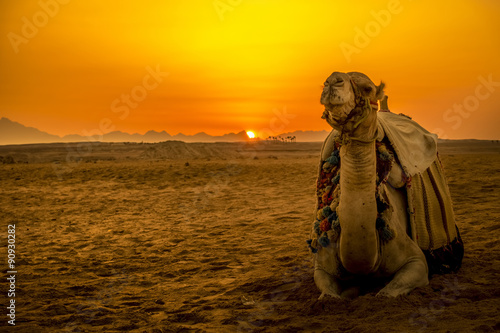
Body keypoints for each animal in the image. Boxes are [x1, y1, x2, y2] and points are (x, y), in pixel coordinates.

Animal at [308, 70, 464, 298]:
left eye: (368, 88)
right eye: (326, 82)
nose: (332, 81)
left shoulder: (416, 262)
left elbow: (386, 294)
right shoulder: (321, 266)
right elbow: (328, 295)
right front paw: (346, 292)